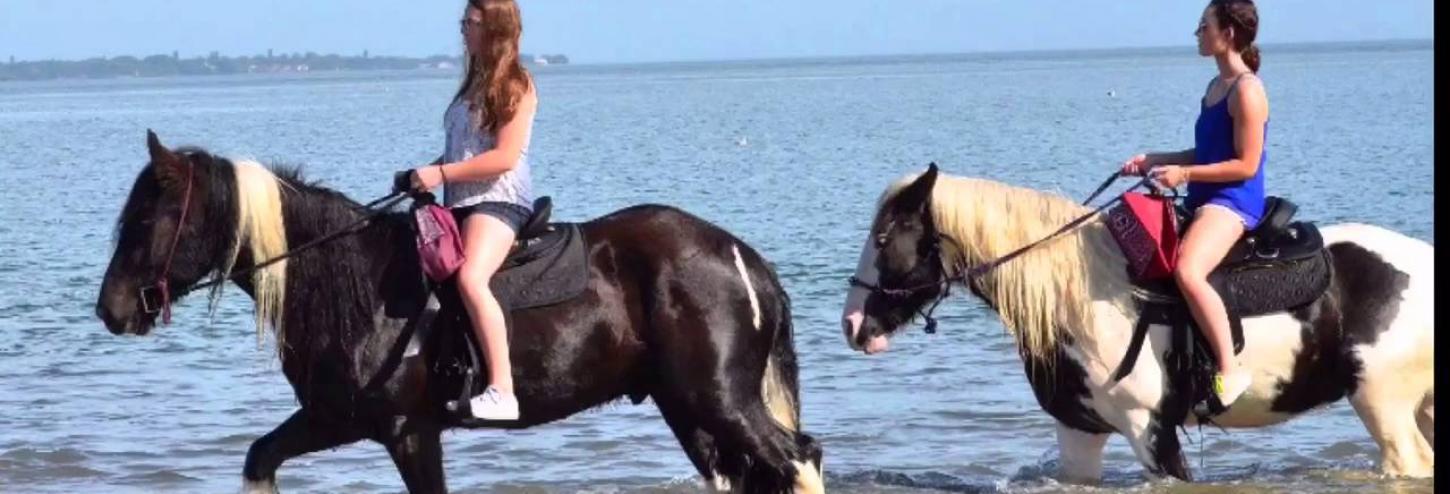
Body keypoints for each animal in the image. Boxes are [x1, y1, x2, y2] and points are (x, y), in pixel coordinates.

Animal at [95, 131, 825, 494]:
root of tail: (741, 256)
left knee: (798, 460)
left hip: (719, 399)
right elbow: (260, 457)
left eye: (148, 218)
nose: (111, 310)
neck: (352, 283)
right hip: (688, 405)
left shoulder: (406, 430)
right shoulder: (337, 418)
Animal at [839, 163, 1433, 483]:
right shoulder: (1078, 431)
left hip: (1384, 404)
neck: (1081, 298)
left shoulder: (1151, 430)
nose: (851, 323)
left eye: (885, 238)